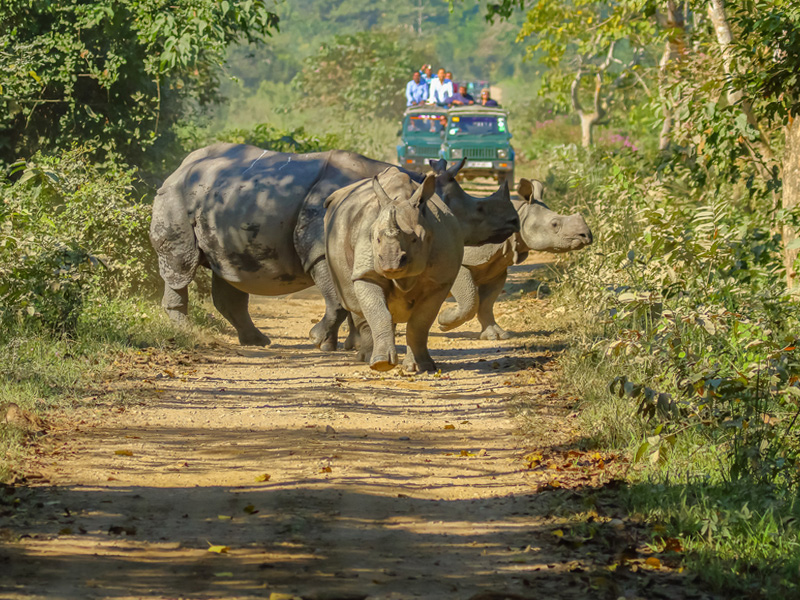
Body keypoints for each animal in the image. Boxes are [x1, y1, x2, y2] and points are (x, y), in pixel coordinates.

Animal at [148, 143, 520, 346]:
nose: (513, 223)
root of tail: (178, 168)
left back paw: (258, 341)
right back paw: (186, 330)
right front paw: (319, 339)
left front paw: (347, 343)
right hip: (175, 197)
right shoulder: (320, 250)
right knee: (181, 265)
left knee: (230, 273)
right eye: (477, 211)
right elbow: (339, 300)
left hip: (225, 199)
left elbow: (349, 299)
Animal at [326, 165, 462, 370]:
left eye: (415, 239)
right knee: (356, 301)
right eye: (376, 238)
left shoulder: (440, 280)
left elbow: (420, 322)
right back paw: (368, 358)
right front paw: (382, 363)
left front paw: (421, 367)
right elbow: (377, 311)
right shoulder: (366, 272)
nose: (390, 262)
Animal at [440, 176, 592, 340]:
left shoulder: (496, 270)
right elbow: (471, 300)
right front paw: (444, 321)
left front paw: (497, 336)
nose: (586, 235)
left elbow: (486, 303)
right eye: (554, 224)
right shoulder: (464, 261)